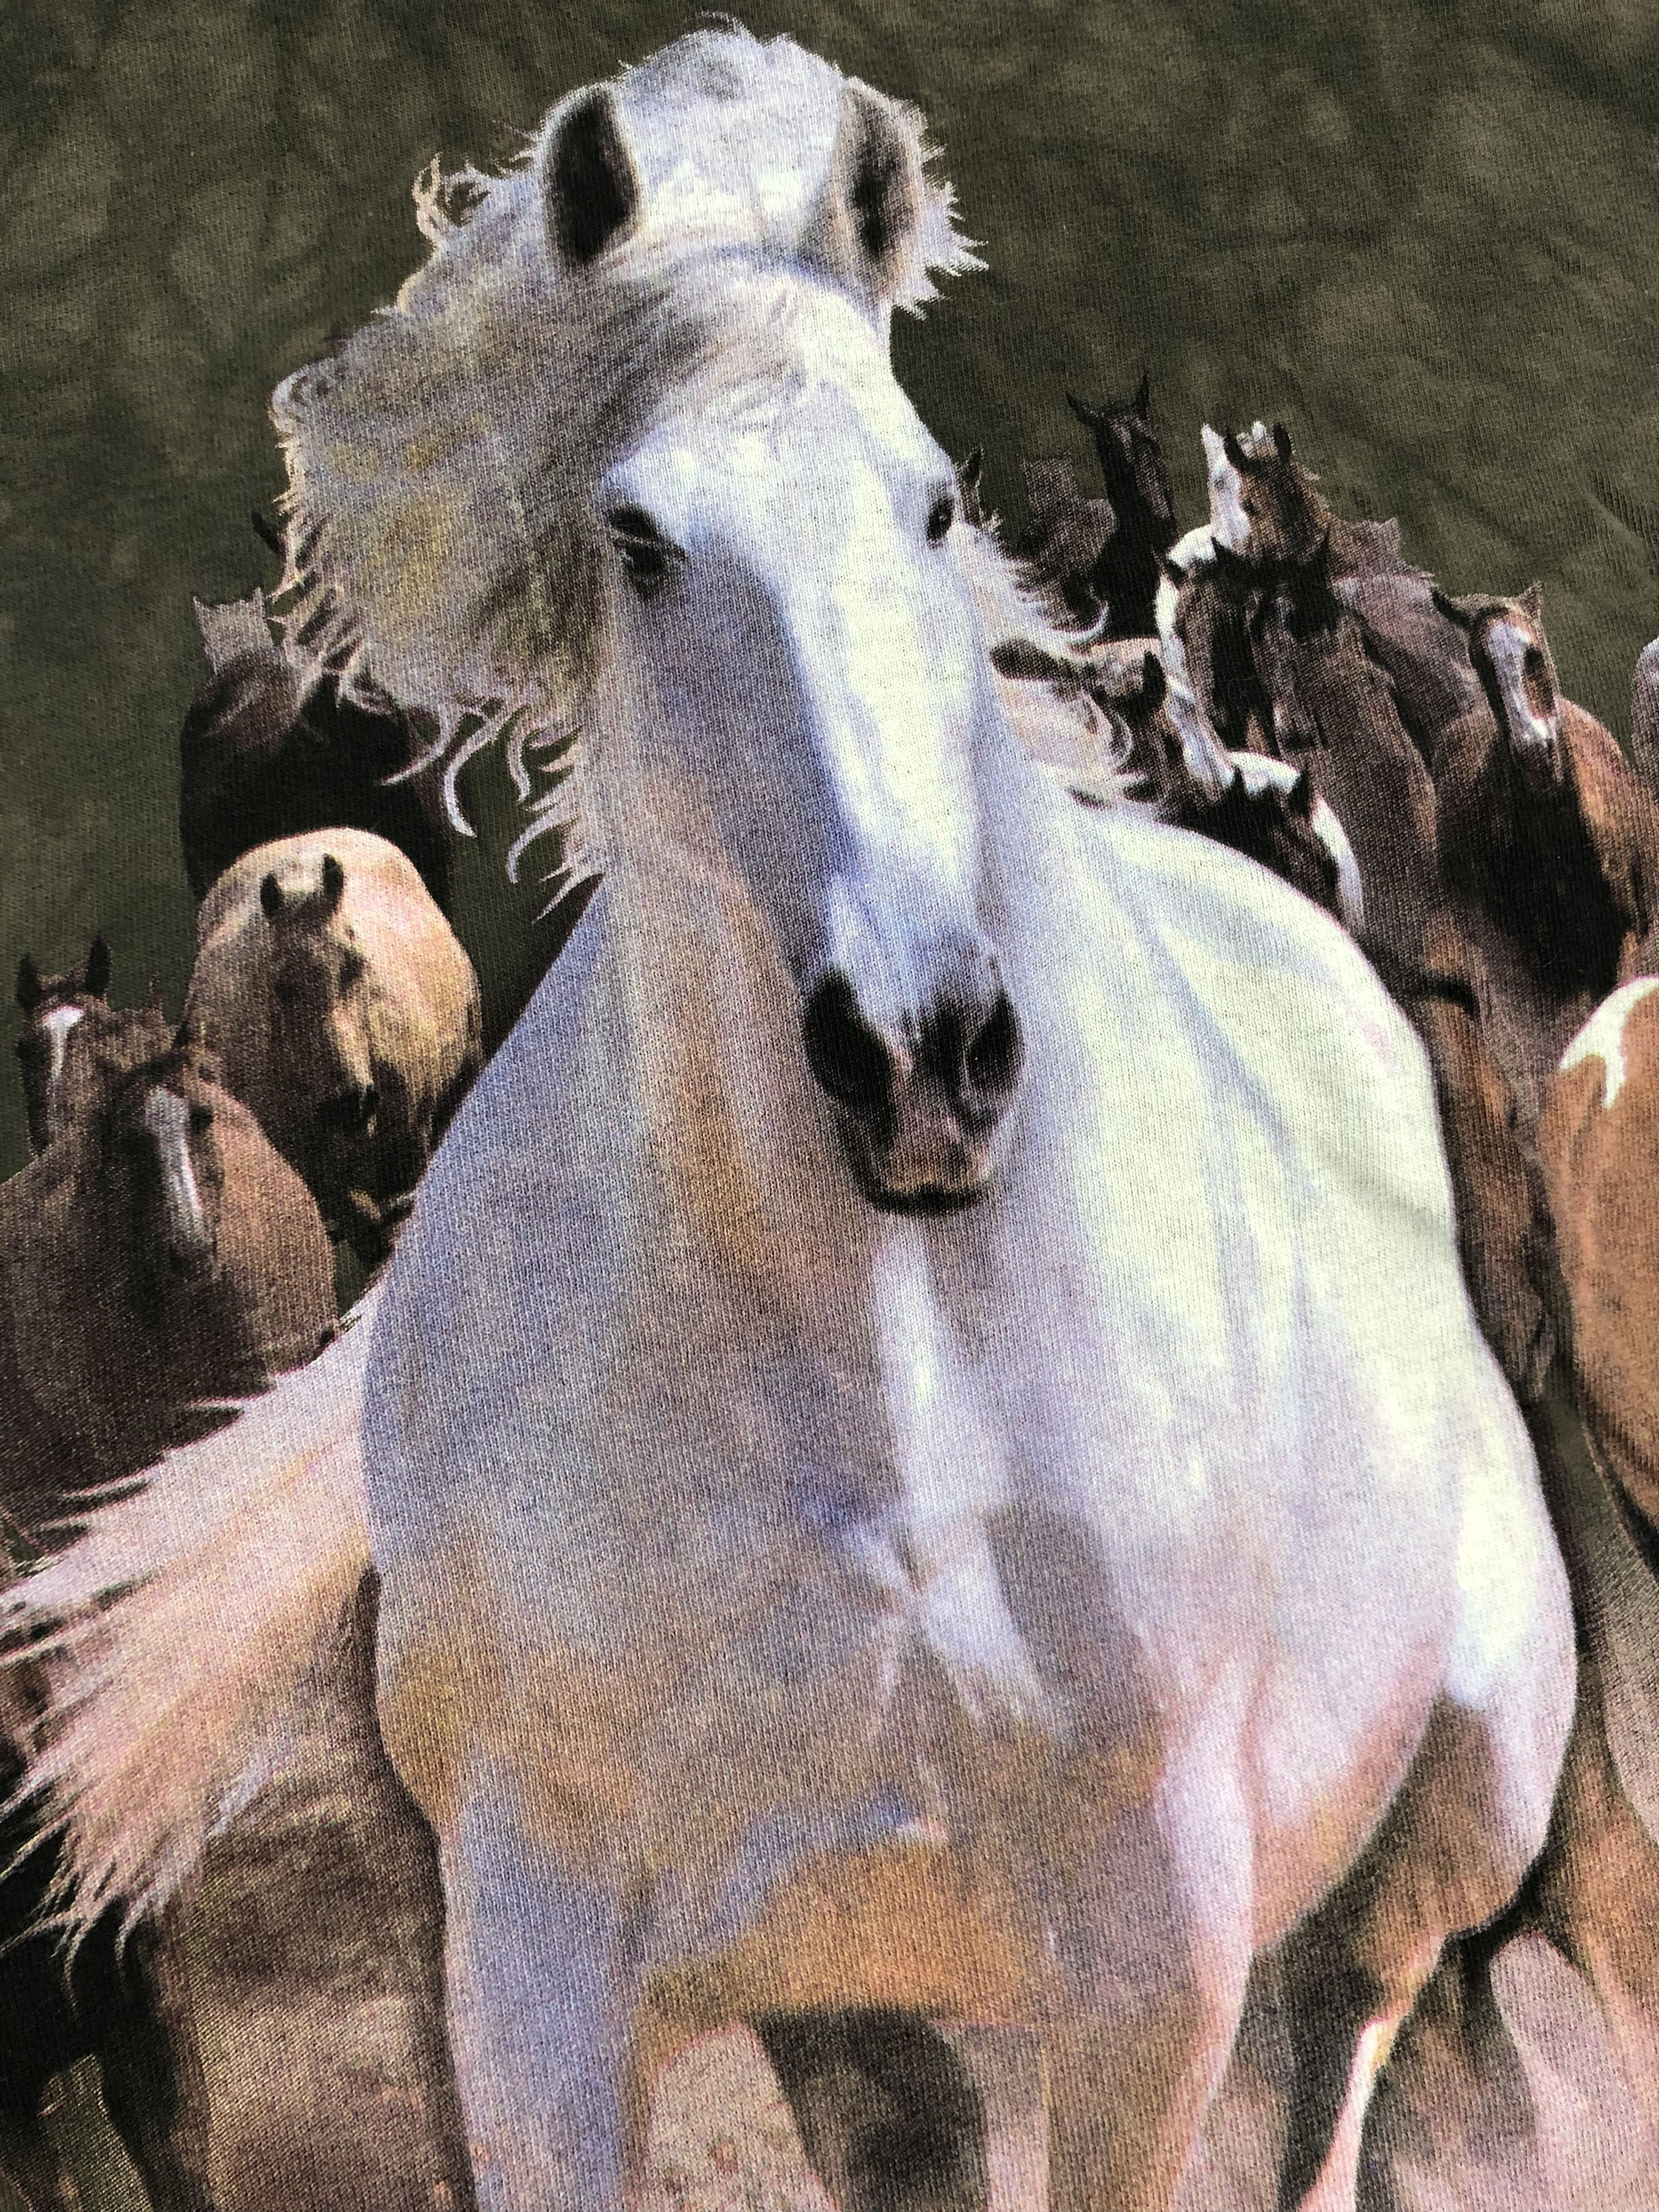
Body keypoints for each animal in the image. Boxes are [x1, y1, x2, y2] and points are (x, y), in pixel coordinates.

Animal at [184, 828, 483, 1270]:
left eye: (357, 964)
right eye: (281, 987)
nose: (352, 1102)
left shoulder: (409, 1140)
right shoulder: (326, 1186)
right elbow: (375, 1240)